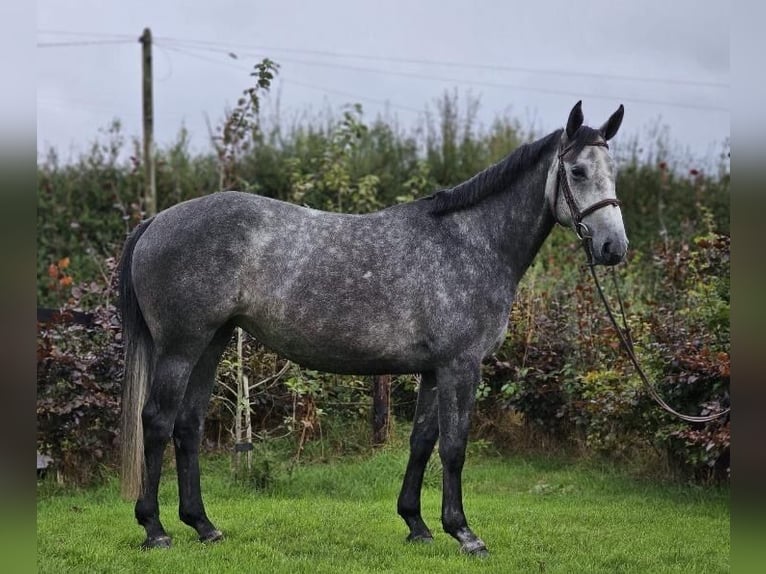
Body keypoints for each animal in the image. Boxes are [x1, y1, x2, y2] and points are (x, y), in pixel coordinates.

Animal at [117, 101, 628, 556]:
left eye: (614, 170)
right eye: (577, 172)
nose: (613, 247)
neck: (471, 242)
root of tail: (157, 221)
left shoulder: (434, 369)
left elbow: (422, 441)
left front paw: (417, 525)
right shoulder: (461, 366)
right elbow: (454, 446)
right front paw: (464, 533)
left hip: (212, 342)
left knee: (187, 425)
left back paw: (203, 526)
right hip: (180, 348)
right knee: (157, 422)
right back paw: (155, 530)